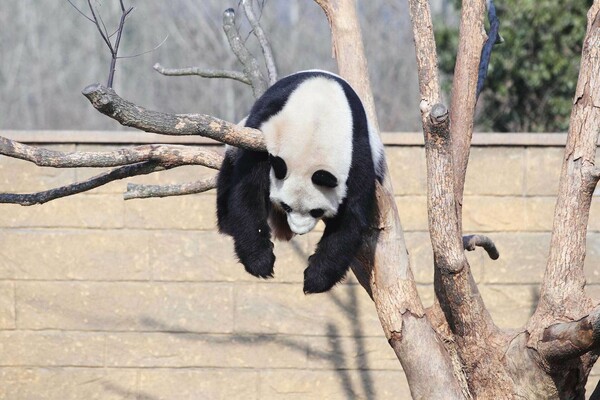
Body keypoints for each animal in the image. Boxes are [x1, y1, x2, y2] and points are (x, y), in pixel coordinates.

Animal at [216, 69, 384, 294]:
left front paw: (315, 278)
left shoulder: (356, 151)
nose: (298, 230)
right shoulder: (264, 136)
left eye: (316, 211)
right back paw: (227, 223)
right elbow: (247, 191)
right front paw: (260, 262)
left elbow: (351, 216)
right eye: (286, 206)